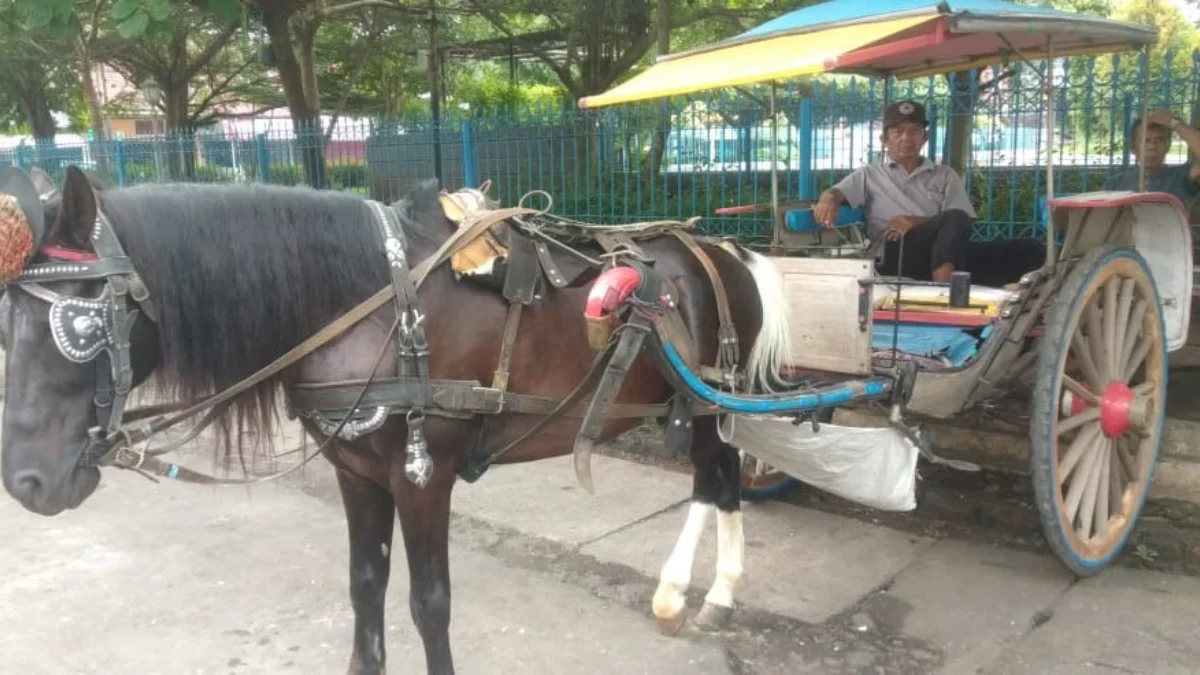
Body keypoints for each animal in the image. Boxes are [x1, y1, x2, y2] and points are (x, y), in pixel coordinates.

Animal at [2, 164, 796, 672]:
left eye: (79, 324)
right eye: (10, 321)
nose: (27, 482)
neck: (369, 303)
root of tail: (724, 250)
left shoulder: (422, 475)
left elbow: (428, 603)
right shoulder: (357, 472)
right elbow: (365, 585)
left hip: (707, 404)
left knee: (713, 479)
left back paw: (686, 593)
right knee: (723, 480)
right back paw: (710, 596)